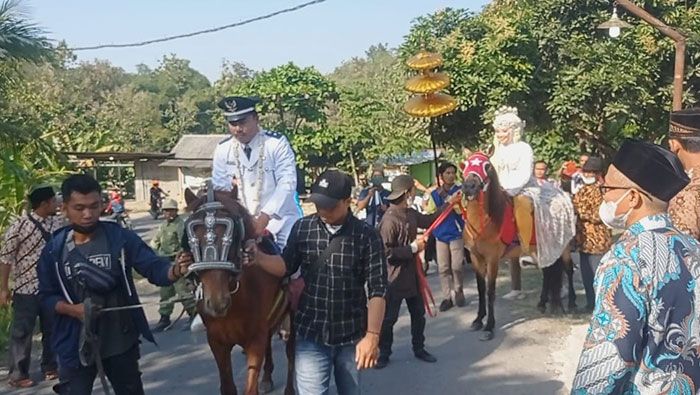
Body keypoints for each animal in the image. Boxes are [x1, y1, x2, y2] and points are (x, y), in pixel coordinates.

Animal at [183, 189, 292, 395]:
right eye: (193, 239)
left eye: (231, 238)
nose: (217, 302)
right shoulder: (217, 342)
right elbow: (227, 386)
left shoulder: (255, 340)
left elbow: (250, 387)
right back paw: (267, 377)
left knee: (293, 352)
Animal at [460, 156, 576, 342]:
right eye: (466, 164)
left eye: (487, 166)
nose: (469, 186)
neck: (488, 218)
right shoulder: (476, 257)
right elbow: (480, 289)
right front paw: (478, 320)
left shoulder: (492, 260)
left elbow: (490, 291)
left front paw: (489, 327)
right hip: (541, 249)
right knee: (548, 273)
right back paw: (542, 303)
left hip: (563, 247)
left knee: (568, 269)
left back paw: (571, 303)